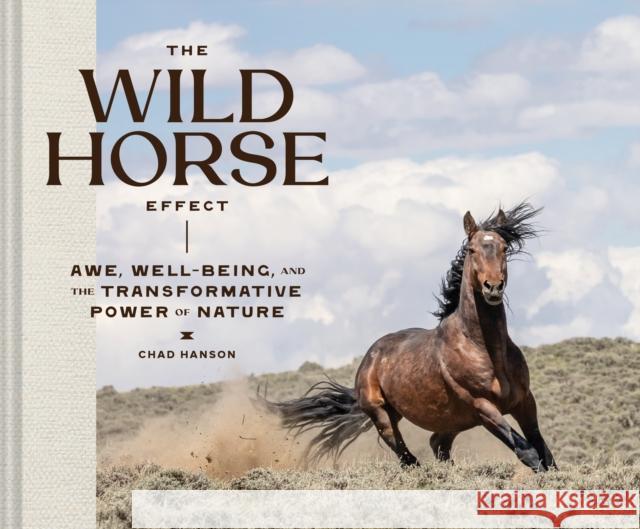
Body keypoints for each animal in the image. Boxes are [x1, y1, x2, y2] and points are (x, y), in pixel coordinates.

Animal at [261, 202, 556, 472]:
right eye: (472, 250)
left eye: (504, 248)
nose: (493, 287)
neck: (485, 349)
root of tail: (369, 358)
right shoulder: (483, 407)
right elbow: (528, 452)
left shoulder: (524, 401)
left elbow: (545, 452)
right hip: (383, 415)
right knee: (406, 456)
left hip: (454, 420)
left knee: (437, 444)